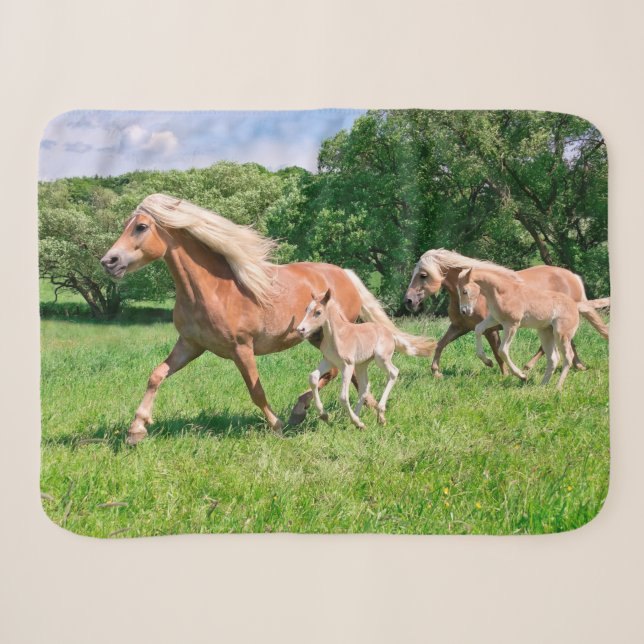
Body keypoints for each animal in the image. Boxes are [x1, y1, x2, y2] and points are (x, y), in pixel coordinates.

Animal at [296, 289, 419, 428]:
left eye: (318, 312)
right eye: (306, 309)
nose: (300, 329)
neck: (338, 336)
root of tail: (390, 334)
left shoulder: (347, 365)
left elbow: (343, 397)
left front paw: (354, 421)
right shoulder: (329, 361)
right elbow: (313, 378)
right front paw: (324, 415)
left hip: (381, 358)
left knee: (393, 372)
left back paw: (378, 416)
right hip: (362, 364)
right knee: (365, 386)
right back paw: (360, 419)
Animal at [403, 249, 609, 377]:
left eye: (423, 275)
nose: (408, 301)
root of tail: (572, 276)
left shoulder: (492, 329)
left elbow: (497, 352)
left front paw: (503, 372)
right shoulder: (459, 327)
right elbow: (440, 344)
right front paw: (436, 371)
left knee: (553, 346)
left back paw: (530, 366)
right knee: (565, 343)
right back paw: (578, 365)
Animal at [456, 267, 608, 390]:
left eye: (464, 291)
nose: (463, 311)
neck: (502, 292)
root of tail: (576, 305)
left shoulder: (512, 324)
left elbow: (502, 350)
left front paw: (522, 376)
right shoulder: (494, 319)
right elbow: (478, 329)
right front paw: (487, 361)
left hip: (561, 334)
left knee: (568, 357)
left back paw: (557, 387)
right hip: (546, 333)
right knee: (554, 358)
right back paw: (542, 386)